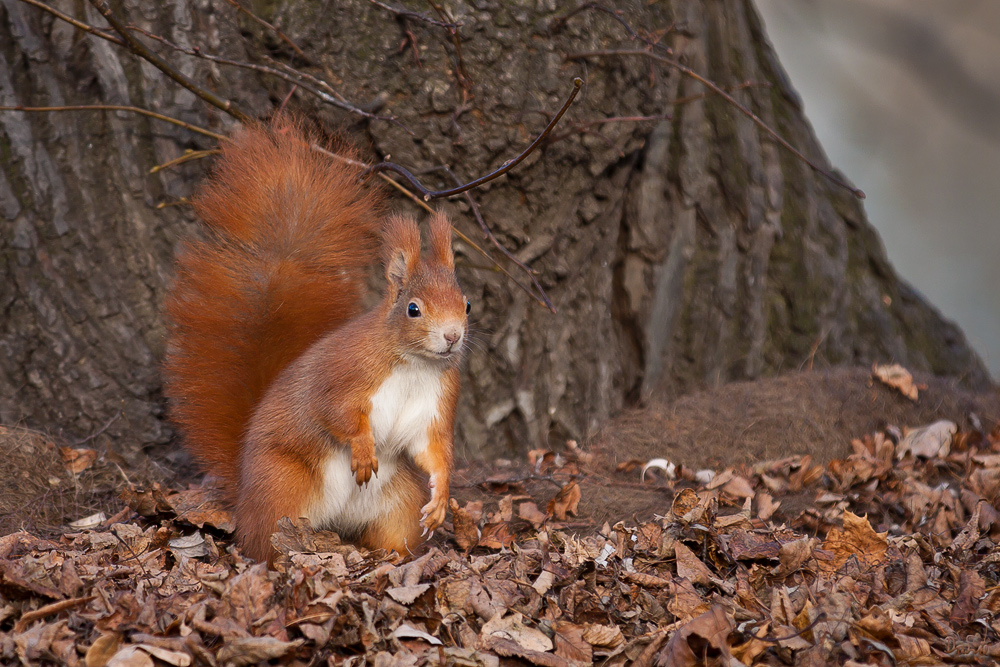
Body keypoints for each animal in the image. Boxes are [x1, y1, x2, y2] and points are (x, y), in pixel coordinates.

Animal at [164, 121, 468, 564]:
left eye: (466, 303)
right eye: (413, 309)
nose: (452, 336)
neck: (414, 364)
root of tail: (244, 494)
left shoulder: (436, 404)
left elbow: (435, 450)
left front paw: (442, 497)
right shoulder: (344, 372)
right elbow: (335, 412)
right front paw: (362, 450)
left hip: (398, 502)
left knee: (392, 532)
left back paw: (394, 555)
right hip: (283, 487)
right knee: (262, 541)